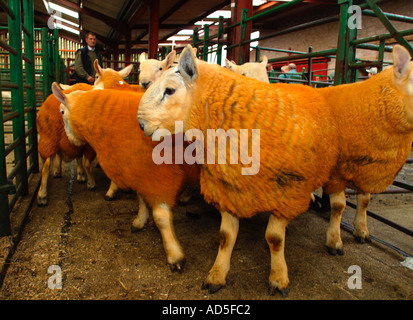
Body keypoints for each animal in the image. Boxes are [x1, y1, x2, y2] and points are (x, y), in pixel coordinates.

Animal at [52, 84, 200, 270]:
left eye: (62, 111)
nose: (72, 140)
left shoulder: (157, 174)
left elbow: (161, 217)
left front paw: (174, 254)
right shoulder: (138, 169)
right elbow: (141, 199)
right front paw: (140, 220)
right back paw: (186, 195)